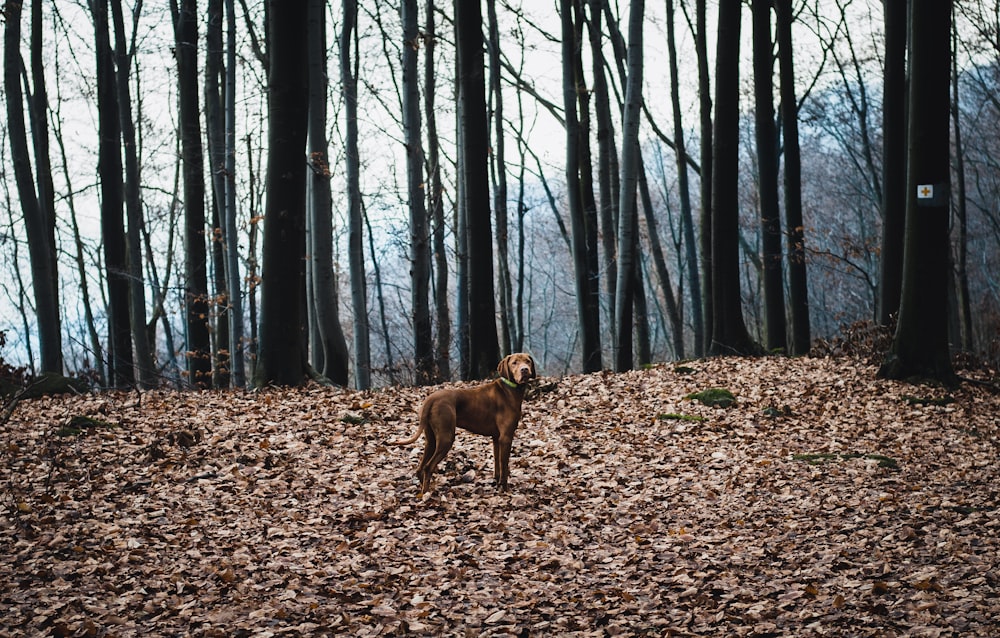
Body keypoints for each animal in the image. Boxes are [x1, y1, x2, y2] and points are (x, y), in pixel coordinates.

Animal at [388, 356, 536, 496]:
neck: (509, 389)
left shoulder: (496, 438)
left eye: (527, 361)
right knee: (428, 467)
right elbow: (504, 466)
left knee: (420, 468)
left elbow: (497, 464)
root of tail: (431, 399)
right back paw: (426, 494)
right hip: (446, 438)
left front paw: (497, 483)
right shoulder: (506, 438)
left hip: (431, 440)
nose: (524, 369)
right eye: (514, 363)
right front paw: (505, 489)